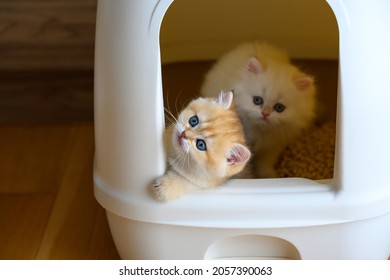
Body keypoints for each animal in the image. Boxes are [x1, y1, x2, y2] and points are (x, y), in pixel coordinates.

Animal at [201, 41, 316, 177]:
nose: (265, 114)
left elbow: (265, 163)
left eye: (279, 108)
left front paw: (268, 175)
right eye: (257, 100)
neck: (260, 131)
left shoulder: (272, 147)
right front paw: (246, 178)